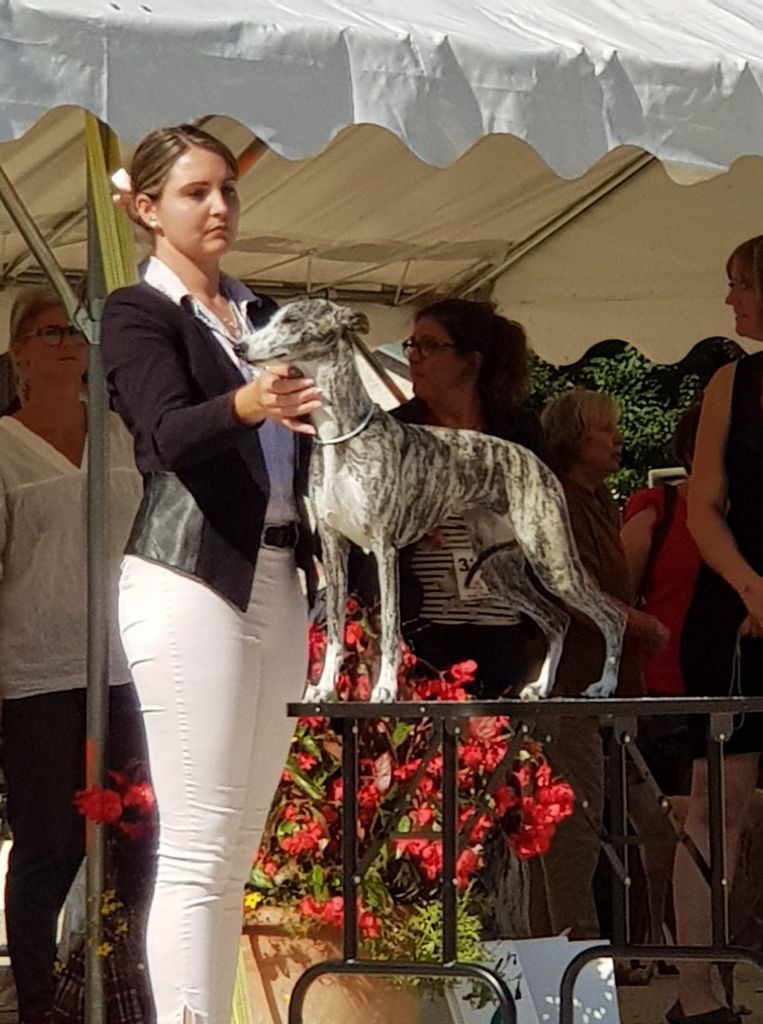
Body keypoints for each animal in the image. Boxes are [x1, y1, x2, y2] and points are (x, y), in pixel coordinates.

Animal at [241, 298, 625, 703]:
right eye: (271, 318)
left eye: (291, 320)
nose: (240, 346)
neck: (342, 436)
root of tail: (540, 464)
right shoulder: (333, 546)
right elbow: (333, 628)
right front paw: (323, 687)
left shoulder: (385, 548)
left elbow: (390, 627)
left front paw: (385, 688)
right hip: (501, 570)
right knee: (557, 619)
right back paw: (540, 686)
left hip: (553, 558)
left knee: (611, 616)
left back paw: (604, 685)